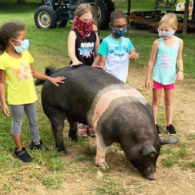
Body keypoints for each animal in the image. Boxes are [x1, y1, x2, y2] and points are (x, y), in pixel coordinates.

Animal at [37, 66, 179, 180]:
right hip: (53, 107)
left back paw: (75, 140)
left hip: (71, 110)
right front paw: (104, 167)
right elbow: (102, 148)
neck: (129, 133)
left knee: (72, 122)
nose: (153, 177)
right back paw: (63, 151)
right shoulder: (102, 129)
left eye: (158, 155)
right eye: (145, 156)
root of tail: (52, 74)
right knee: (58, 128)